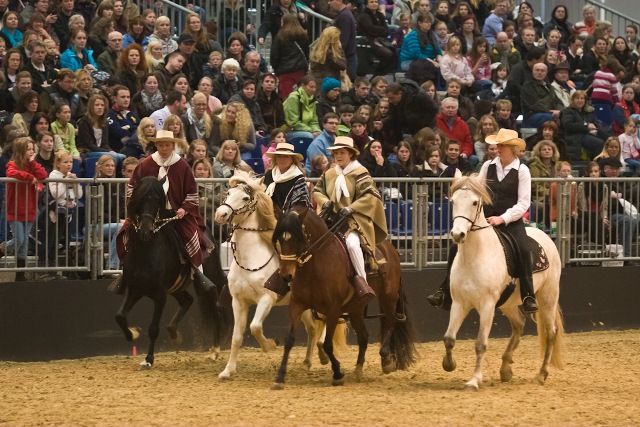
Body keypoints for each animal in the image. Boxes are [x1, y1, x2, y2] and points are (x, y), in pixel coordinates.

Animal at [115, 176, 230, 369]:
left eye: (157, 201)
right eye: (140, 200)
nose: (145, 230)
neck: (146, 252)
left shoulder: (160, 294)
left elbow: (153, 328)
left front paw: (148, 359)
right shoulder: (134, 289)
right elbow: (120, 316)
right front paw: (133, 333)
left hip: (206, 280)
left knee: (214, 308)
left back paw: (214, 349)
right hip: (176, 287)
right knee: (187, 300)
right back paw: (175, 334)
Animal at [213, 170, 343, 380]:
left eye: (245, 198)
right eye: (229, 193)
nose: (220, 214)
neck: (250, 260)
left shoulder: (267, 299)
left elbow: (255, 327)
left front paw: (271, 345)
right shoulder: (238, 301)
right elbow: (236, 337)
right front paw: (228, 371)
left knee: (325, 323)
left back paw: (323, 353)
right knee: (312, 327)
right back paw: (308, 361)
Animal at [271, 204, 416, 389]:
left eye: (297, 239)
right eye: (280, 240)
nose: (286, 275)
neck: (315, 266)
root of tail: (391, 248)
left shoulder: (333, 309)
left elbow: (327, 344)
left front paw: (338, 373)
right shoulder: (297, 304)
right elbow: (289, 339)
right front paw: (280, 377)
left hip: (388, 296)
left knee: (391, 321)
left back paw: (386, 360)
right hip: (356, 309)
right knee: (364, 336)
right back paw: (358, 370)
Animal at [442, 175, 564, 390]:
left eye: (475, 202)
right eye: (453, 202)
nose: (458, 234)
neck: (475, 256)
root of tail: (545, 237)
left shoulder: (487, 305)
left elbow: (480, 344)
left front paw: (474, 380)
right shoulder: (459, 303)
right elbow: (449, 338)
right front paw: (449, 364)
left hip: (547, 297)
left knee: (551, 333)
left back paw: (541, 375)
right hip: (508, 303)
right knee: (519, 324)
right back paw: (506, 368)